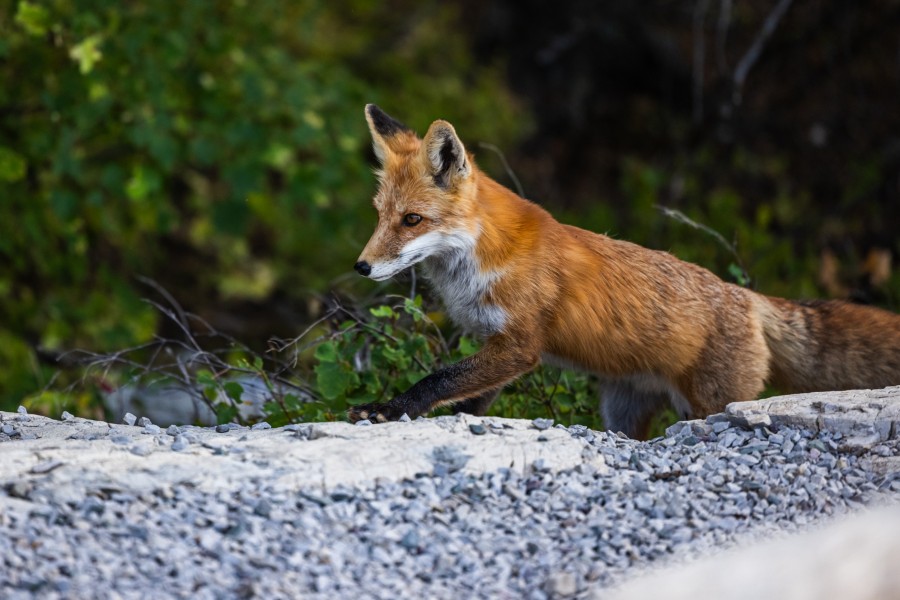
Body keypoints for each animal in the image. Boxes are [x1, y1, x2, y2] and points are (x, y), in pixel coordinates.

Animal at [348, 103, 900, 438]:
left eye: (412, 220)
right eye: (378, 215)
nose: (362, 267)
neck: (485, 256)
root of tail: (747, 297)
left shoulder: (520, 345)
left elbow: (439, 378)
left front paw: (388, 408)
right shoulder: (496, 347)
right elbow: (469, 399)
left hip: (714, 403)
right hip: (622, 408)